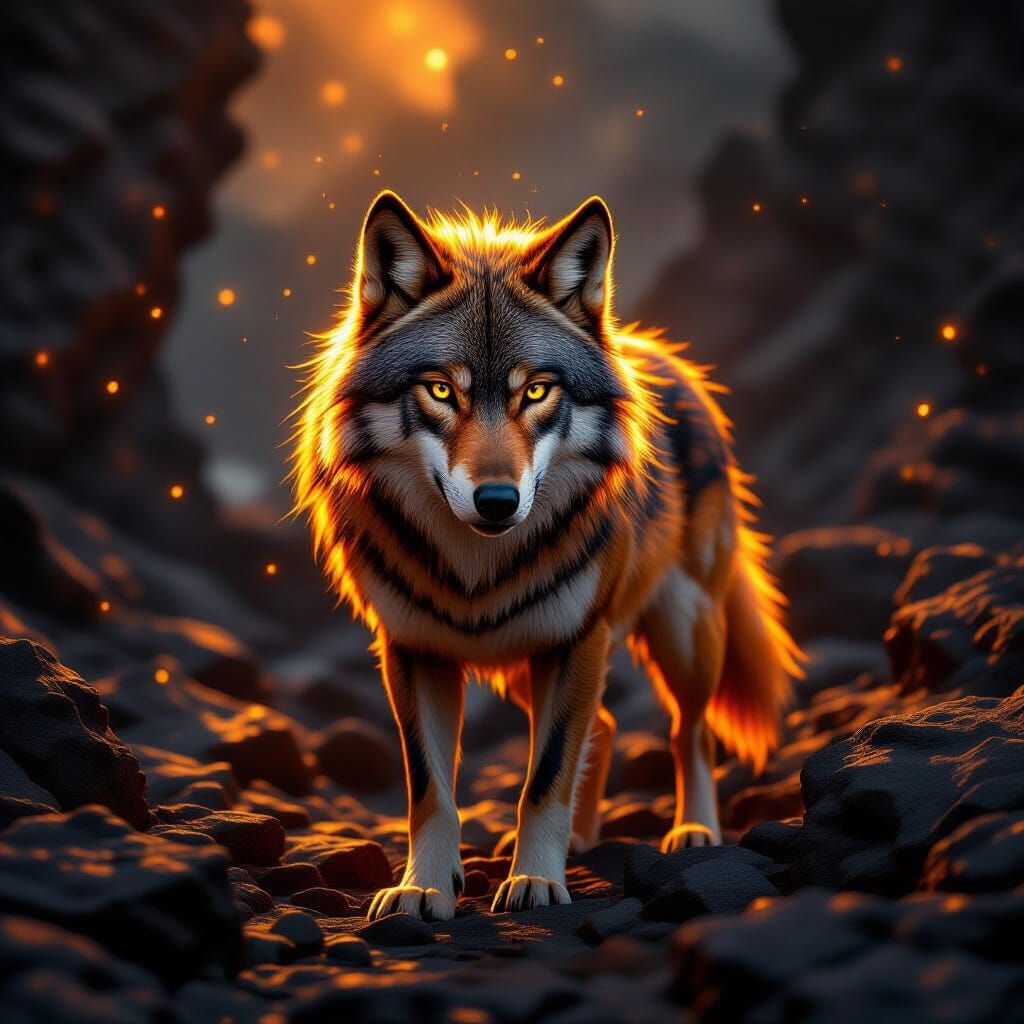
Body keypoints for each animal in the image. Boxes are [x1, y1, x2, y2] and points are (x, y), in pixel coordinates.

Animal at [291, 190, 803, 921]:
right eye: (441, 390)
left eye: (535, 391)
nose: (497, 501)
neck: (475, 568)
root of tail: (660, 353)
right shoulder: (415, 650)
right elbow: (431, 790)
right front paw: (423, 887)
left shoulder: (573, 640)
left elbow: (546, 776)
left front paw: (534, 880)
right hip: (526, 664)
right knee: (610, 724)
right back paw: (585, 839)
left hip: (682, 635)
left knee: (691, 733)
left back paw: (693, 832)